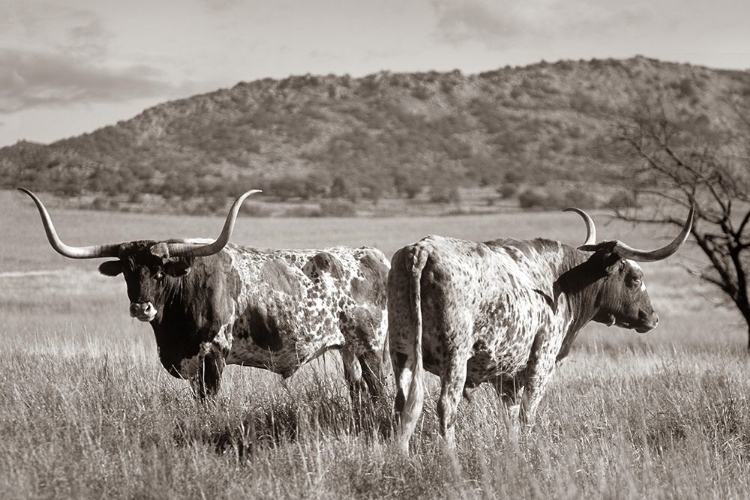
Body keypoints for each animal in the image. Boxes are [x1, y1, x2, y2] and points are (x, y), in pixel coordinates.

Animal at [20, 189, 390, 400]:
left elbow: (210, 403)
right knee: (359, 391)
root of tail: (371, 254)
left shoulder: (213, 356)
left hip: (371, 347)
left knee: (380, 390)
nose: (142, 307)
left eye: (160, 271)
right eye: (127, 272)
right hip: (348, 350)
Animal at [390, 203, 696, 450]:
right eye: (634, 278)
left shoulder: (507, 378)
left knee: (403, 404)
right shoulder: (542, 362)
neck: (561, 280)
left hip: (402, 354)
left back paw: (402, 457)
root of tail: (421, 250)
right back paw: (451, 459)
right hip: (455, 358)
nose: (651, 317)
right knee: (446, 407)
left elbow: (511, 419)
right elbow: (528, 414)